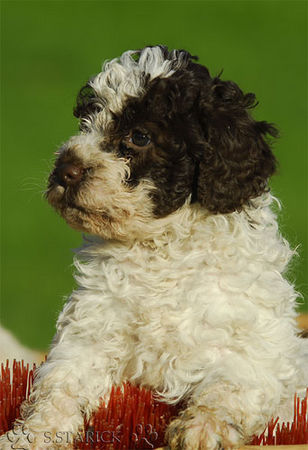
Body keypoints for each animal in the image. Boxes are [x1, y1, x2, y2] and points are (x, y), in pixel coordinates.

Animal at [1, 46, 306, 450]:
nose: (64, 170)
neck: (161, 249)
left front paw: (201, 429)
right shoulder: (90, 331)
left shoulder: (256, 350)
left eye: (140, 137)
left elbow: (229, 389)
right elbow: (59, 385)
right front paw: (30, 436)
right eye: (85, 122)